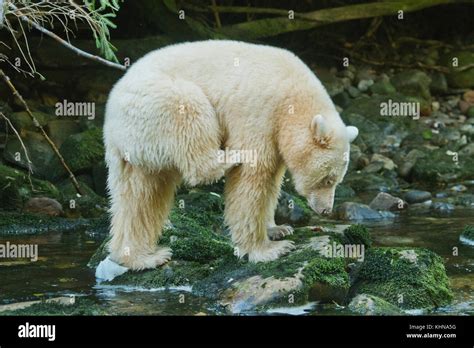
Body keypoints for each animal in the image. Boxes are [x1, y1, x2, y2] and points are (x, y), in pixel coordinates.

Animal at [103, 40, 356, 270]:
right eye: (328, 179)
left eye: (337, 180)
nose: (326, 210)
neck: (292, 97)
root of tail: (110, 119)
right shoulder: (260, 112)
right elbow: (253, 178)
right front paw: (267, 249)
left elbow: (272, 181)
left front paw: (278, 229)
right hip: (159, 103)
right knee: (190, 110)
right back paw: (225, 159)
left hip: (137, 147)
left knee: (140, 196)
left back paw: (140, 256)